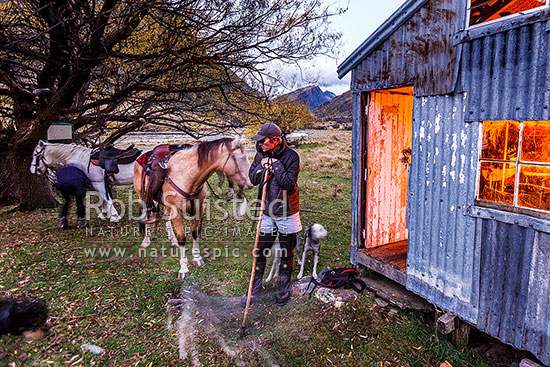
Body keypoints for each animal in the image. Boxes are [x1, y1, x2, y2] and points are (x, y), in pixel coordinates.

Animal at [134, 138, 254, 278]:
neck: (187, 175)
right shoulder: (177, 212)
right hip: (142, 196)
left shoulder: (198, 209)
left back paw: (172, 239)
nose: (251, 183)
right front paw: (183, 268)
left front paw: (197, 259)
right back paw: (146, 241)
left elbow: (195, 233)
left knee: (165, 217)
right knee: (146, 215)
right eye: (242, 158)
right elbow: (182, 239)